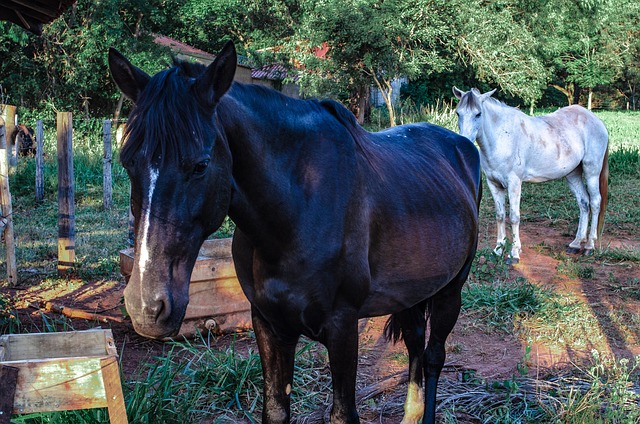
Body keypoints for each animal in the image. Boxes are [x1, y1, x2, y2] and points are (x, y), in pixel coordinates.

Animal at [109, 42, 482, 424]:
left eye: (200, 166)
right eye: (128, 162)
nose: (146, 307)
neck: (297, 211)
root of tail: (462, 144)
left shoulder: (343, 327)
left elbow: (343, 413)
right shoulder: (269, 324)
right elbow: (275, 409)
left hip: (452, 289)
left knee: (434, 356)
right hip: (413, 291)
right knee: (415, 343)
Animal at [453, 87, 609, 263]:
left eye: (478, 114)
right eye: (458, 113)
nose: (464, 142)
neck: (503, 137)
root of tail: (596, 120)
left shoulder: (514, 183)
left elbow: (514, 217)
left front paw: (514, 253)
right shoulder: (494, 184)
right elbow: (500, 216)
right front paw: (497, 251)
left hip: (591, 171)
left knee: (595, 202)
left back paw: (589, 246)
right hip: (573, 174)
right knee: (584, 203)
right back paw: (575, 244)